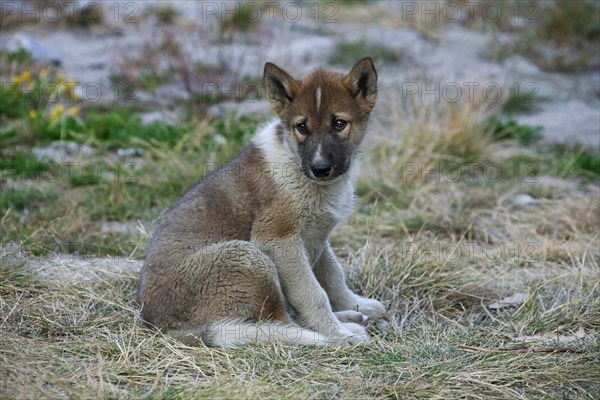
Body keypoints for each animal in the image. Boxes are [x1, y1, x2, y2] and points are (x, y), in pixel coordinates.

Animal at [137, 57, 384, 346]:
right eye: (302, 127)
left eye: (339, 123)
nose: (320, 168)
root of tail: (159, 326)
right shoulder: (278, 239)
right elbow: (313, 294)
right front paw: (336, 333)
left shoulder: (316, 237)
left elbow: (332, 275)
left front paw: (355, 304)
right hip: (248, 256)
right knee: (280, 321)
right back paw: (339, 334)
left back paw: (351, 317)